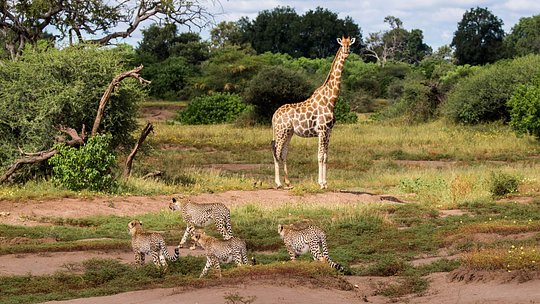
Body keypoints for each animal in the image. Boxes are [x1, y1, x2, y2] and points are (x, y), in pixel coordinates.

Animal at [272, 35, 356, 188]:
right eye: (342, 45)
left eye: (350, 44)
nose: (347, 51)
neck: (331, 99)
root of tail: (274, 116)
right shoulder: (322, 130)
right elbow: (320, 156)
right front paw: (321, 183)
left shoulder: (329, 131)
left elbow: (325, 156)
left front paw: (325, 183)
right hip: (281, 132)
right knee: (277, 152)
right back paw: (279, 183)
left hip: (288, 133)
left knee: (283, 153)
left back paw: (288, 182)